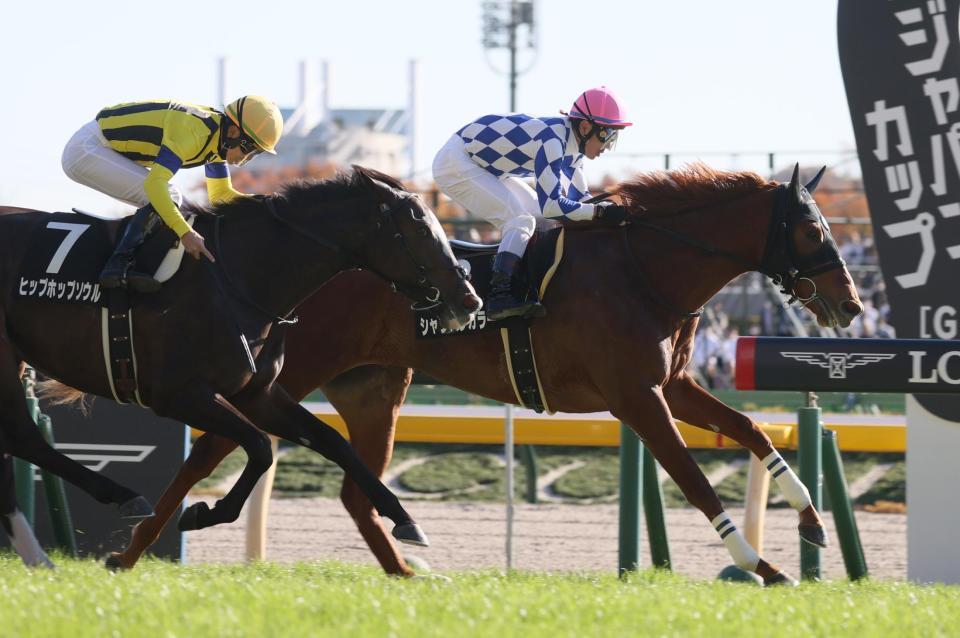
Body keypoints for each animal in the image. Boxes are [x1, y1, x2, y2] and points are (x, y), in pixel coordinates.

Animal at [0, 166, 480, 552]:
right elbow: (259, 448)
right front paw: (203, 513)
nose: (468, 299)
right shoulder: (178, 395)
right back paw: (120, 498)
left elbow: (332, 441)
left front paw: (405, 519)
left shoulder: (257, 392)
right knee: (24, 437)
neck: (240, 278)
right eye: (421, 231)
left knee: (21, 439)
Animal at [77, 164, 864, 584]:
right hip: (279, 377)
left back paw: (404, 570)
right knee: (213, 449)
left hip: (375, 388)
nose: (852, 302)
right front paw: (762, 566)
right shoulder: (636, 397)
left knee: (353, 491)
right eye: (813, 230)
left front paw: (811, 524)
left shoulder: (672, 385)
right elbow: (696, 481)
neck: (642, 267)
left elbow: (751, 428)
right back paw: (137, 545)